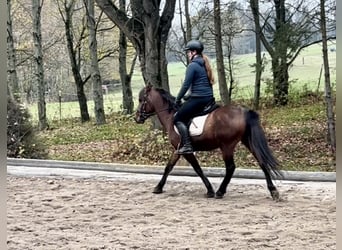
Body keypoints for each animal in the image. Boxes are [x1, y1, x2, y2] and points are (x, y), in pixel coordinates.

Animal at [135, 85, 282, 200]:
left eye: (141, 100)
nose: (137, 118)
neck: (171, 116)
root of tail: (243, 111)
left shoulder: (186, 151)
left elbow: (197, 169)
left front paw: (210, 190)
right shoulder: (177, 149)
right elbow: (169, 167)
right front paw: (158, 187)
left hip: (227, 146)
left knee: (231, 167)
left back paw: (220, 192)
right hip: (247, 141)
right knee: (261, 161)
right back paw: (273, 191)